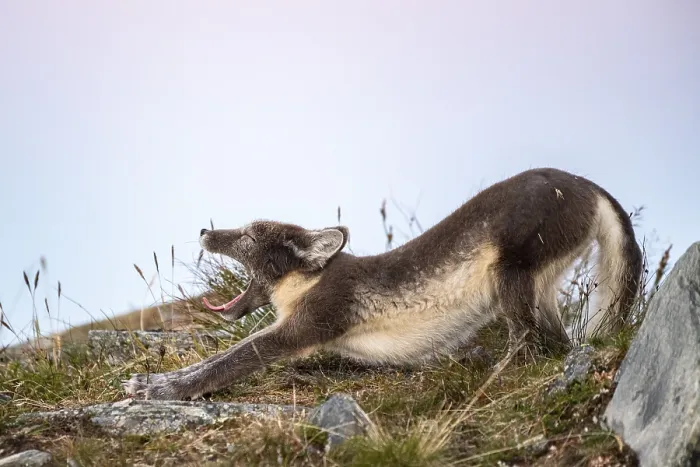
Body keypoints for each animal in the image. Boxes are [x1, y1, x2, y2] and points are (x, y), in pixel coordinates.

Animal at [123, 167, 642, 401]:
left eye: (251, 234)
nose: (204, 231)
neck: (308, 283)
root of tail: (587, 185)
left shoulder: (306, 325)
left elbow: (230, 358)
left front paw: (159, 387)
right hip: (541, 284)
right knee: (556, 342)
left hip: (511, 272)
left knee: (531, 340)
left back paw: (489, 376)